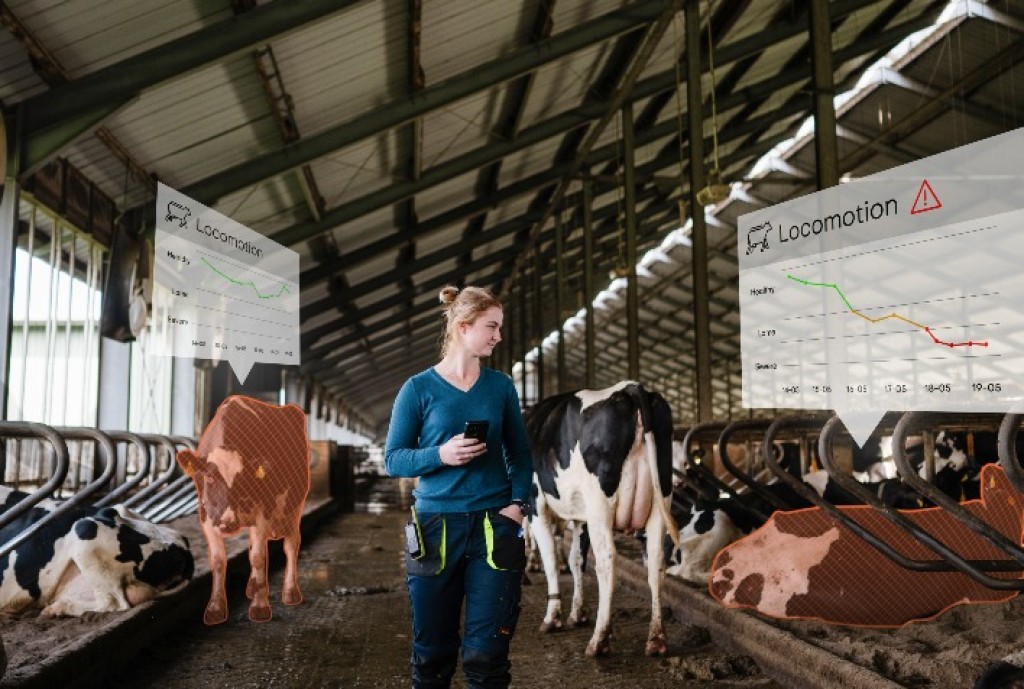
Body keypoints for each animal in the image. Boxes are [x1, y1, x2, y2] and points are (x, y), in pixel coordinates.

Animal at [177, 395, 310, 625]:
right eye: (209, 478)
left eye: (244, 481)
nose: (228, 522)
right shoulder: (206, 516)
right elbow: (218, 560)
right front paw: (216, 608)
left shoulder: (264, 512)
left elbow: (258, 557)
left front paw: (260, 607)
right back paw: (253, 587)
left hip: (295, 505)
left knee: (291, 545)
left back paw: (290, 593)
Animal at [526, 381, 679, 657]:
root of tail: (630, 387)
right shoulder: (581, 517)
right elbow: (576, 559)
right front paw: (577, 613)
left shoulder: (535, 502)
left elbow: (551, 559)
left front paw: (552, 617)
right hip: (661, 497)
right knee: (656, 562)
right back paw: (656, 639)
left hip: (600, 503)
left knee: (607, 560)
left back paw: (599, 640)